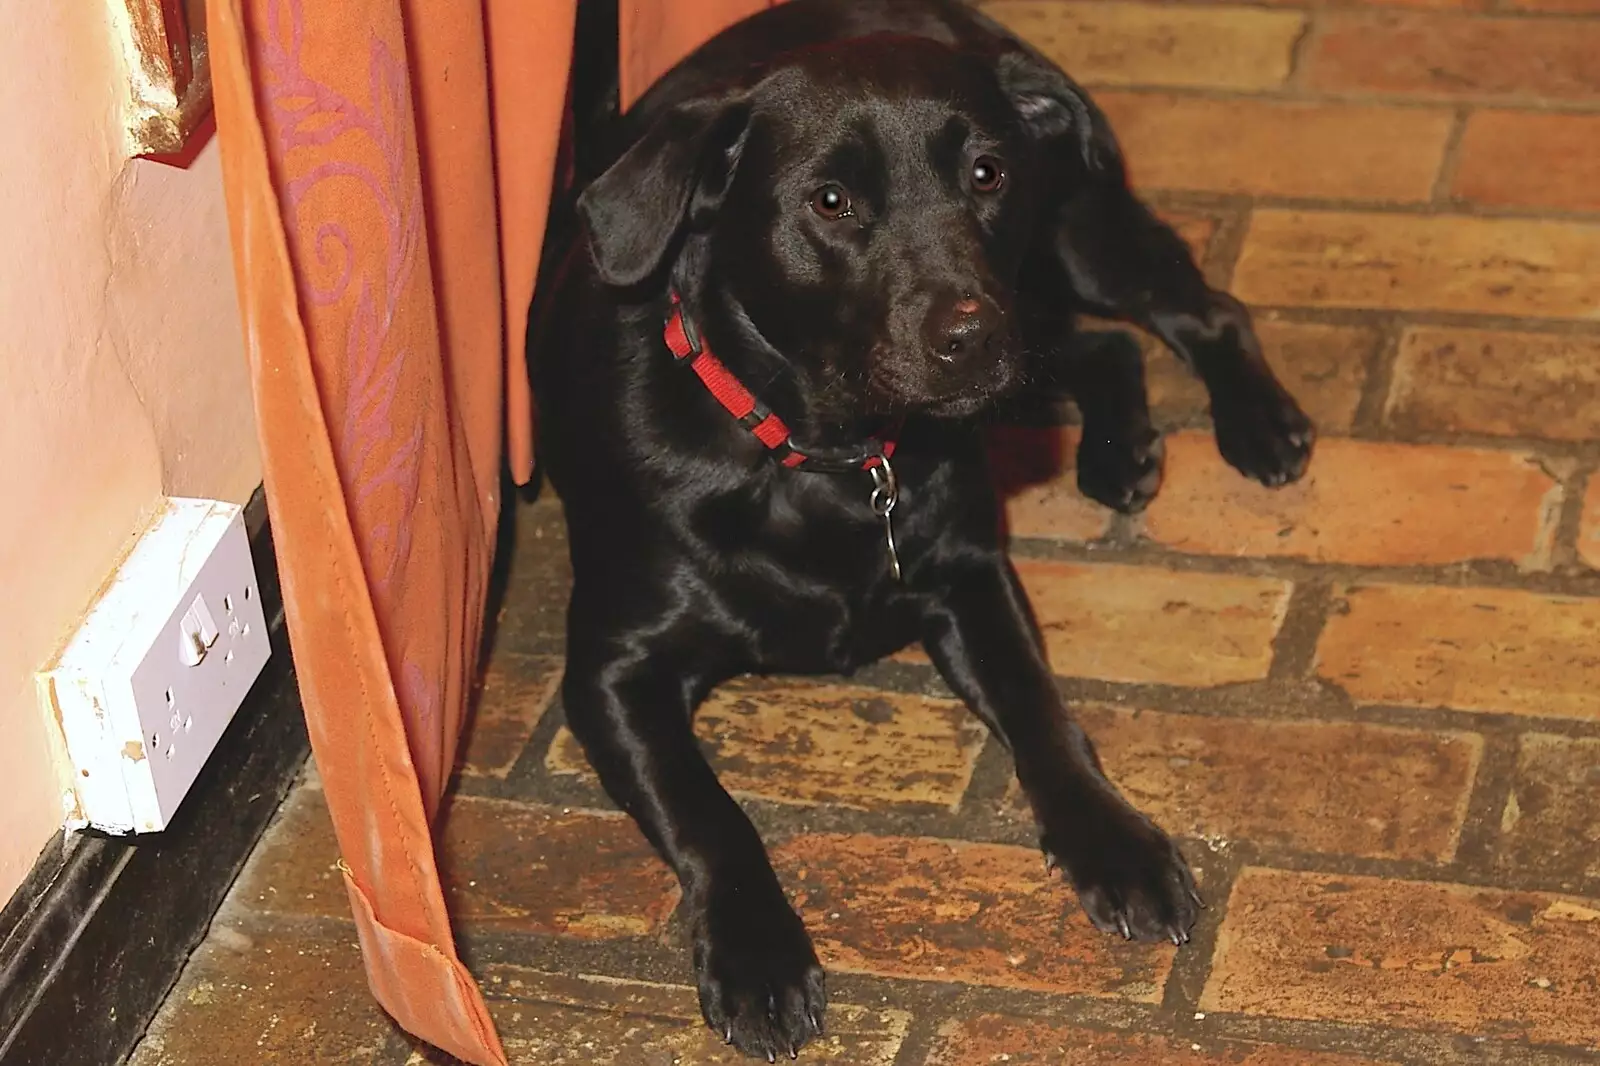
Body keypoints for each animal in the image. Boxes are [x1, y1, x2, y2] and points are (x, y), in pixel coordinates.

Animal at [528, 2, 1312, 1056]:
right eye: (828, 201)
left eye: (987, 172)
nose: (971, 336)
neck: (820, 457)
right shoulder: (612, 671)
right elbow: (710, 814)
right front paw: (758, 955)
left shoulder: (973, 576)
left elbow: (1044, 714)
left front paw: (1115, 844)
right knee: (1104, 346)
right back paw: (1120, 452)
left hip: (1069, 246)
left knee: (1200, 312)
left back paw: (1254, 425)